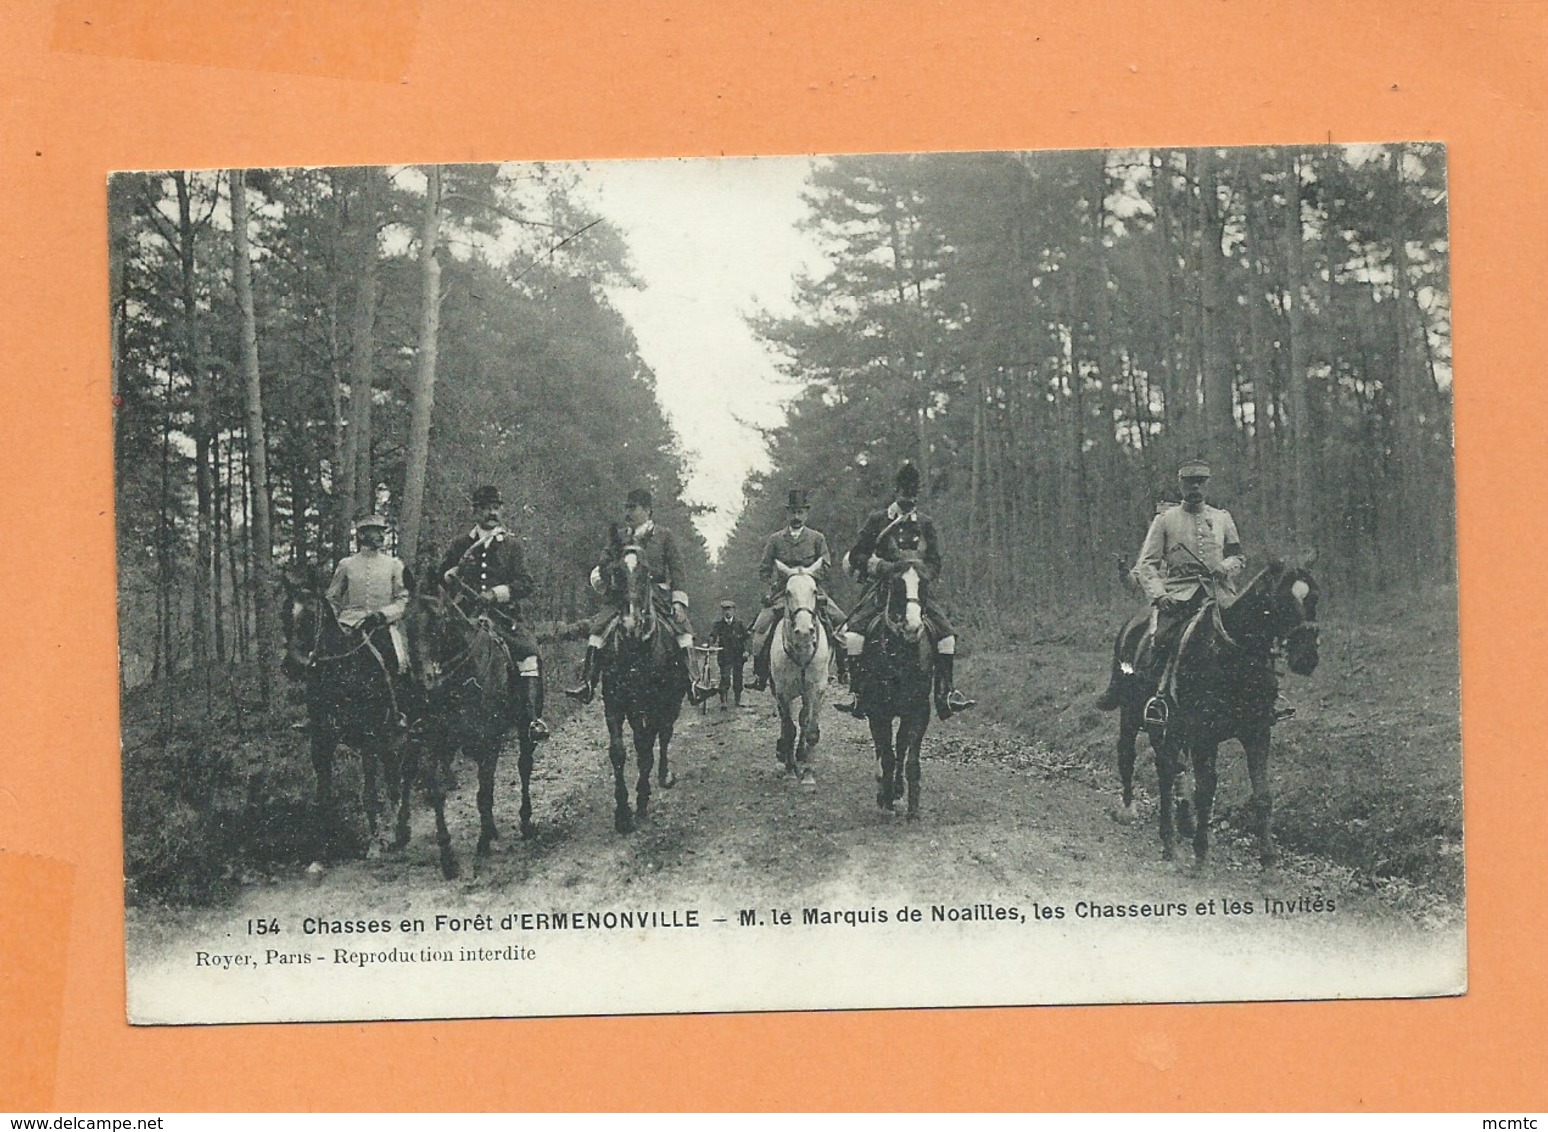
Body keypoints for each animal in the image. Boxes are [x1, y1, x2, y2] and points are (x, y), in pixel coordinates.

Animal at [767, 566, 829, 786]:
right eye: (787, 592)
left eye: (814, 591)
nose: (804, 632)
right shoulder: (783, 692)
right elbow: (788, 730)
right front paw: (790, 771)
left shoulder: (816, 690)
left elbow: (809, 729)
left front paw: (808, 775)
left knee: (804, 718)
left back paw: (802, 753)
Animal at [1102, 557, 1318, 867]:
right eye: (1282, 601)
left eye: (1315, 597)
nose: (1307, 658)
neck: (1233, 655)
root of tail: (1132, 624)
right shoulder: (1205, 736)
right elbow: (1206, 790)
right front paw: (1201, 853)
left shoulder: (1257, 733)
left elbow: (1263, 794)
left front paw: (1268, 858)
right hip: (1134, 715)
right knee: (1132, 756)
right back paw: (1136, 814)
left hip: (1171, 728)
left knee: (1169, 768)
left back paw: (1180, 827)